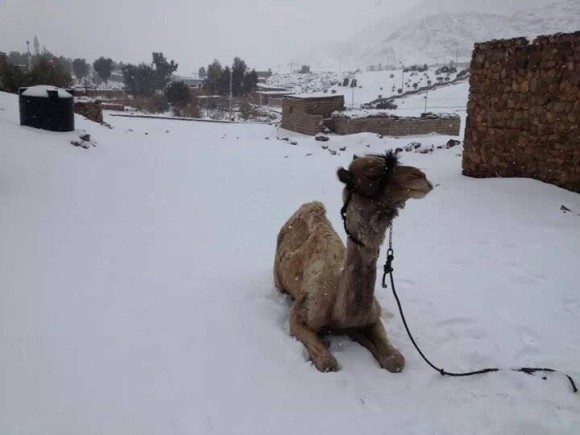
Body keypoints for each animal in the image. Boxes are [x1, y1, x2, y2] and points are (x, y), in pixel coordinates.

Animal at [274, 152, 432, 372]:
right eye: (372, 174)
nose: (421, 176)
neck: (340, 310)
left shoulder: (371, 318)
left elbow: (396, 360)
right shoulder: (300, 315)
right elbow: (328, 363)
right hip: (278, 282)